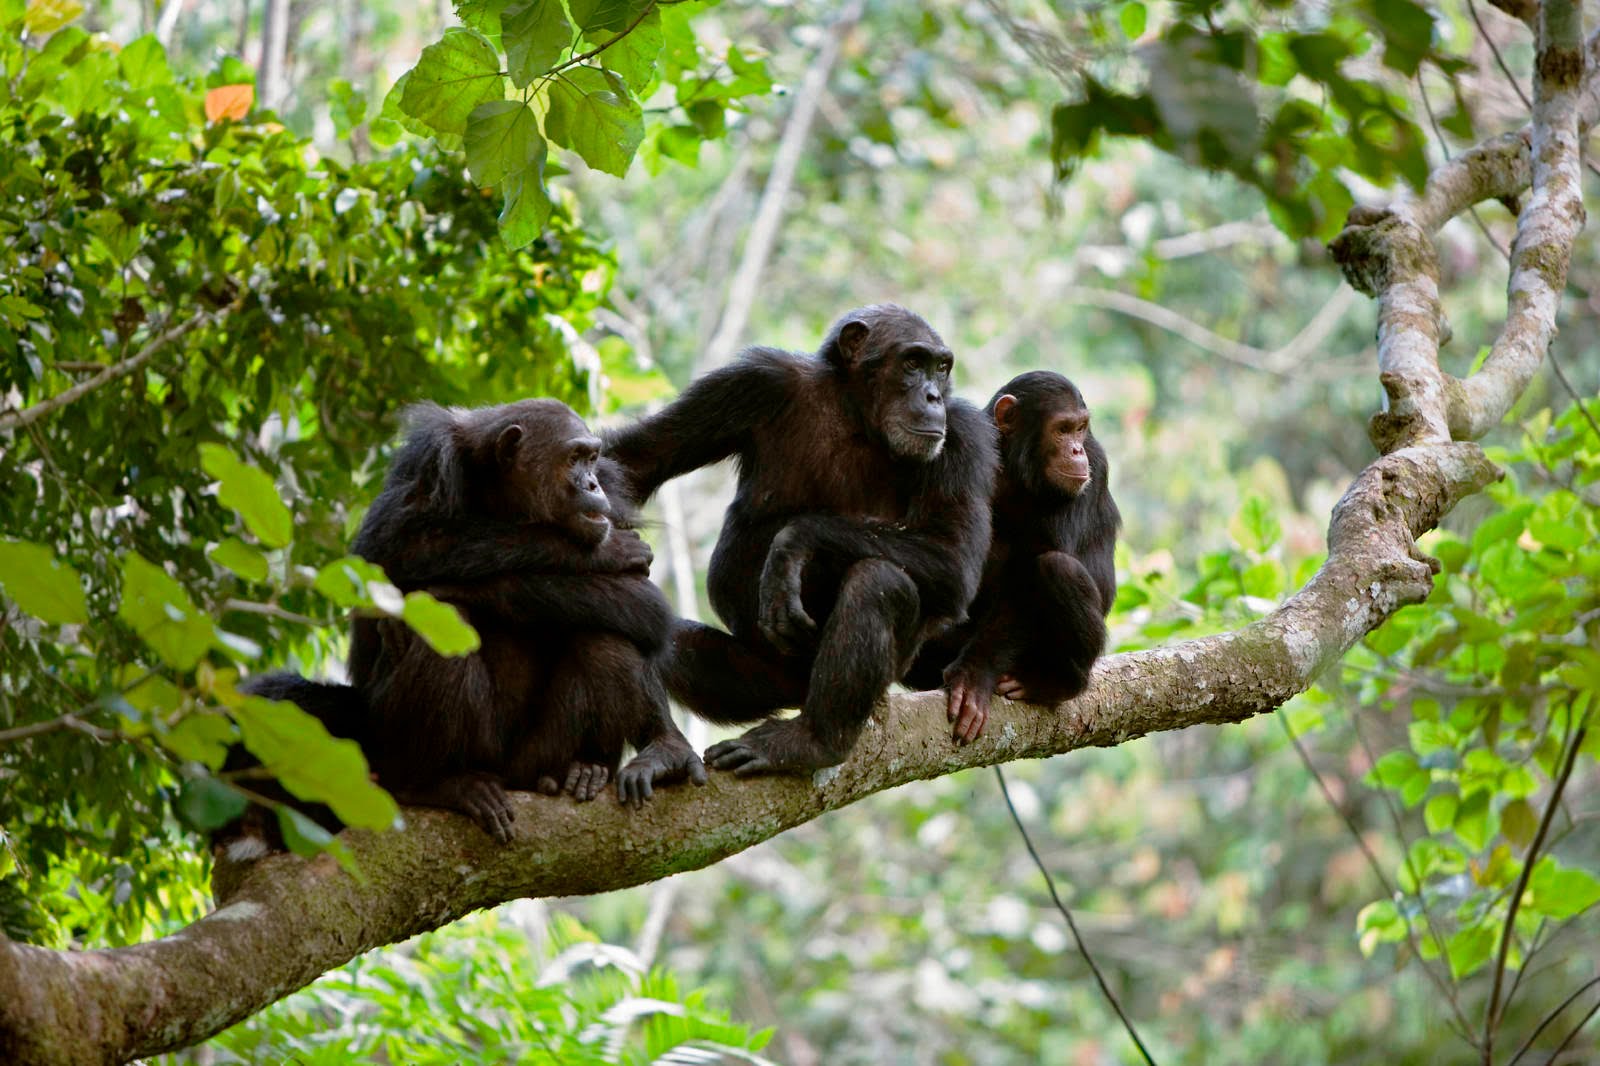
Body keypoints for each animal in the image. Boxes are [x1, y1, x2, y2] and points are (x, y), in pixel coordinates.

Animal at [227, 393, 700, 851]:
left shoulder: (613, 495)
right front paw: (607, 551)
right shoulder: (428, 461)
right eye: (572, 459)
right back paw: (438, 784)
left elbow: (642, 602)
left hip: (533, 759)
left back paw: (593, 767)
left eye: (591, 458)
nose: (591, 484)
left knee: (606, 634)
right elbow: (399, 547)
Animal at [604, 302, 992, 777]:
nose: (933, 396)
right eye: (913, 363)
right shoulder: (752, 381)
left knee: (880, 583)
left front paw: (793, 543)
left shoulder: (965, 436)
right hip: (763, 679)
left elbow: (953, 556)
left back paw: (812, 742)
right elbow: (636, 460)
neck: (856, 414)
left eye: (941, 368)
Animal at [908, 369, 1120, 742]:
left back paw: (1057, 683)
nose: (1076, 449)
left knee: (1056, 568)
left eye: (1081, 428)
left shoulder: (1093, 464)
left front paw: (974, 675)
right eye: (1062, 429)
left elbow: (1030, 573)